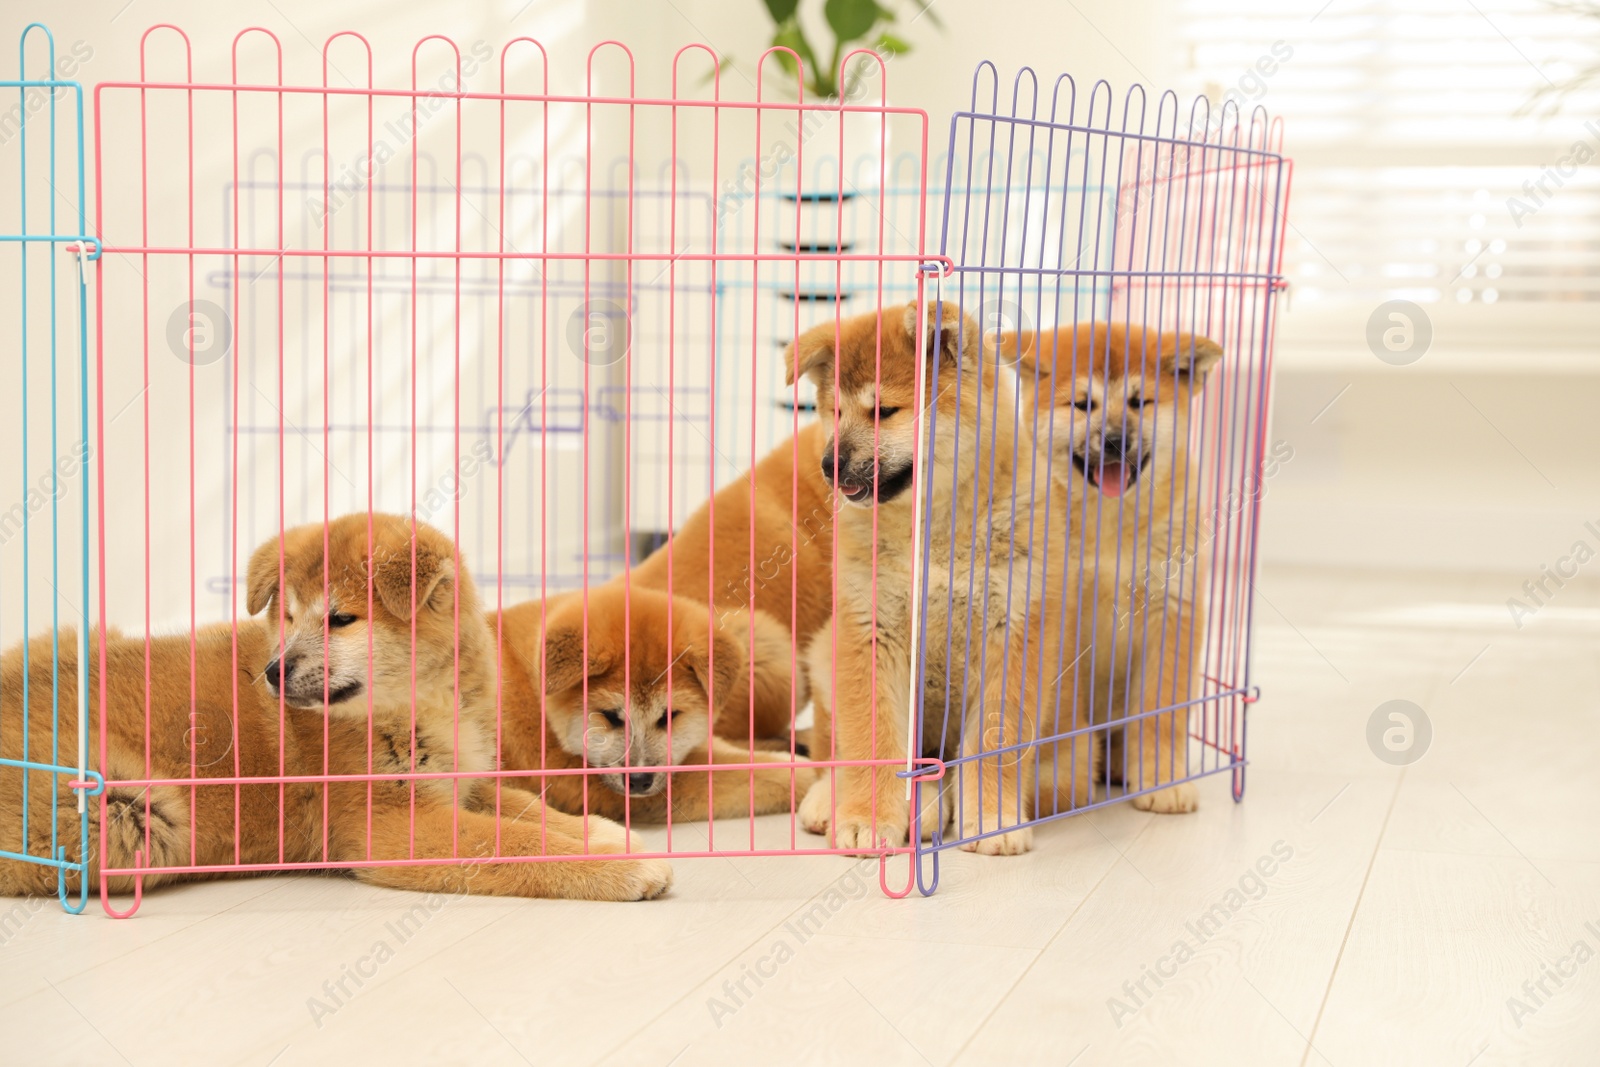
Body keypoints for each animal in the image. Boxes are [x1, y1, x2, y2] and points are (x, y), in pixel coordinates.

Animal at [0, 511, 672, 908]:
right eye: (288, 617)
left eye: (340, 618)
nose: (273, 672)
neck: (421, 705)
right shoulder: (395, 826)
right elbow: (519, 843)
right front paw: (624, 867)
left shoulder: (461, 782)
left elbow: (533, 809)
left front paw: (613, 834)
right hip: (124, 817)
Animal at [790, 302, 1094, 857]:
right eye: (835, 413)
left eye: (885, 411)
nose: (827, 465)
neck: (932, 531)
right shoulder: (869, 630)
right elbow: (872, 740)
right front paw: (868, 818)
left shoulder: (1011, 635)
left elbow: (994, 745)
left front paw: (993, 818)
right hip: (824, 657)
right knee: (830, 751)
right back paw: (837, 799)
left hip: (1076, 750)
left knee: (964, 769)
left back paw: (940, 801)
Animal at [1004, 321, 1216, 812]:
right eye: (1083, 404)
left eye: (1141, 402)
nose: (1117, 440)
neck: (1110, 525)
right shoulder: (1061, 618)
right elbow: (1062, 710)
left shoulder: (1173, 610)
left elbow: (1161, 715)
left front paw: (1163, 782)